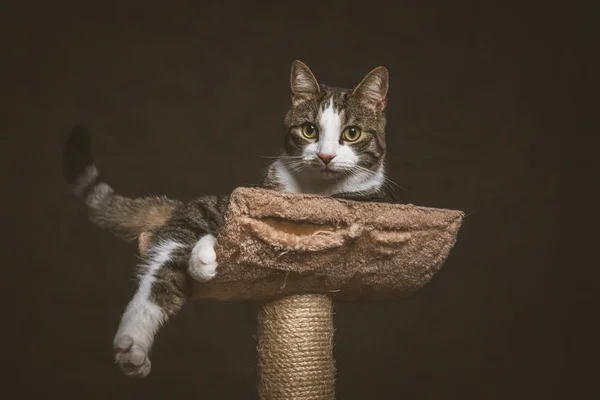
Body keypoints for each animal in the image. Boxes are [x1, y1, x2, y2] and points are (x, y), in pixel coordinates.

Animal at [63, 60, 396, 378]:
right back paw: (133, 343)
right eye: (309, 130)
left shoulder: (364, 206)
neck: (315, 192)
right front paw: (203, 257)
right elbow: (230, 224)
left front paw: (203, 258)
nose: (325, 157)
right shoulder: (246, 200)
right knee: (161, 270)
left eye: (352, 133)